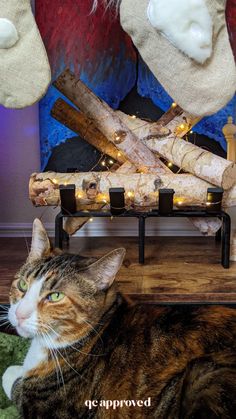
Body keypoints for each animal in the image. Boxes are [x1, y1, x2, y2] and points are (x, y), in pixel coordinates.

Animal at [1, 218, 236, 418]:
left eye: (55, 296)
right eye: (22, 284)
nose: (19, 314)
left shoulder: (45, 408)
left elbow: (11, 378)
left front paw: (15, 371)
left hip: (205, 376)